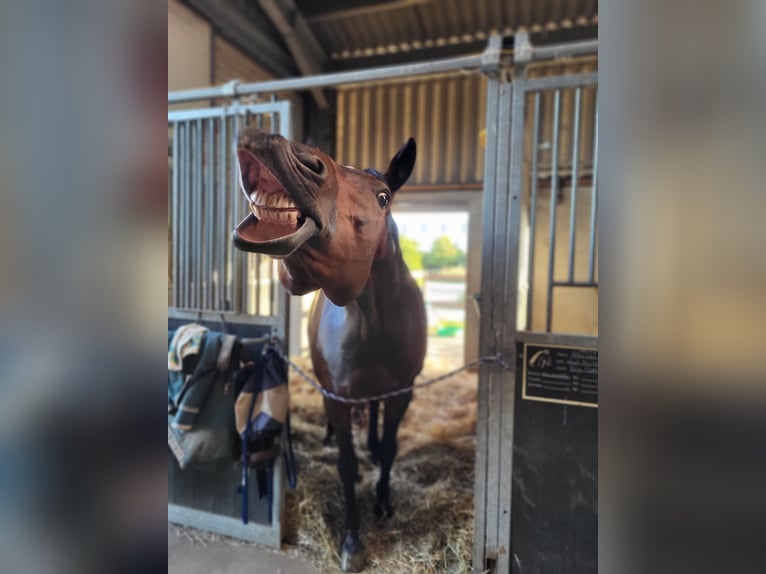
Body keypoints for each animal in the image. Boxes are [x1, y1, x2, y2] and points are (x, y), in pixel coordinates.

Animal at [231, 128, 428, 572]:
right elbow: (347, 466)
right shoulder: (338, 396)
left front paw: (384, 503)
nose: (274, 145)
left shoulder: (403, 392)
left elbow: (389, 450)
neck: (373, 321)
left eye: (383, 196)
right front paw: (353, 541)